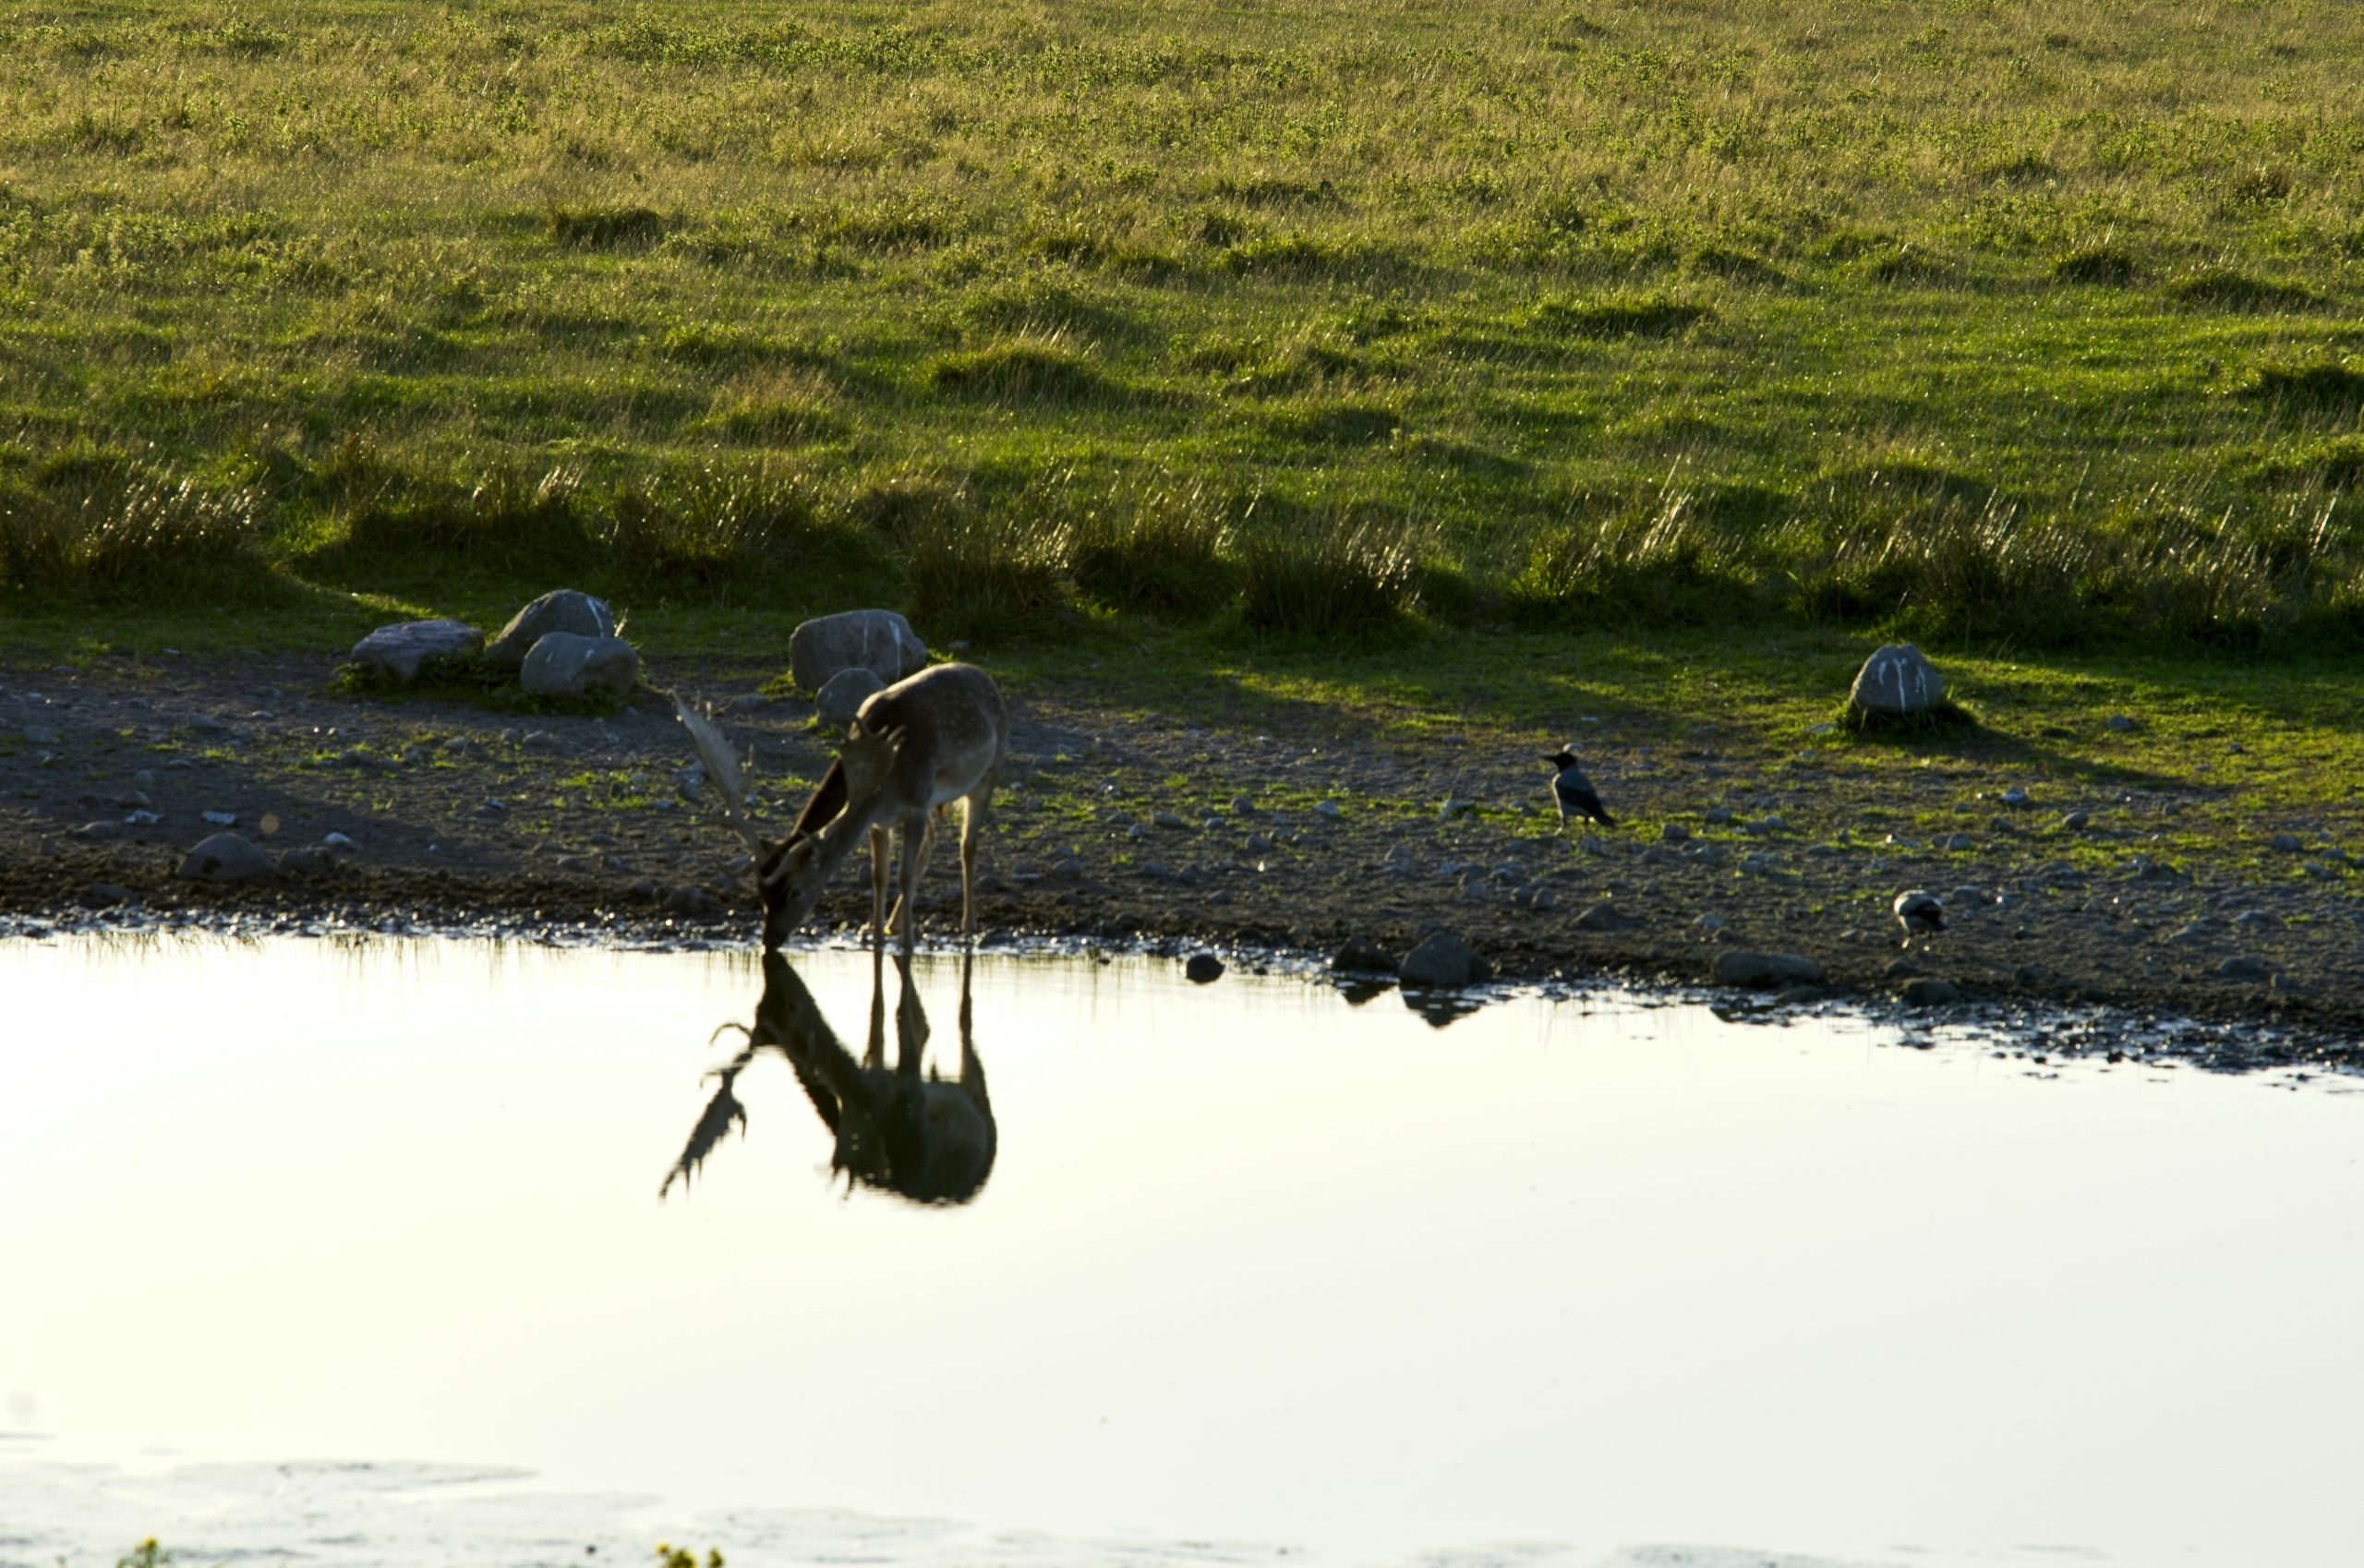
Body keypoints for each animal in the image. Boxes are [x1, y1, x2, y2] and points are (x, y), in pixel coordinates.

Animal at [675, 662, 1008, 956]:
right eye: (761, 893)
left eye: (796, 890)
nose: (769, 939)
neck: (886, 779)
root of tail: (987, 678)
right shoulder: (879, 819)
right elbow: (879, 876)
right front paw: (876, 938)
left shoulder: (915, 801)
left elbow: (903, 875)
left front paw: (909, 945)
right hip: (935, 801)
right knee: (934, 841)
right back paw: (895, 923)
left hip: (987, 774)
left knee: (967, 846)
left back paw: (968, 923)